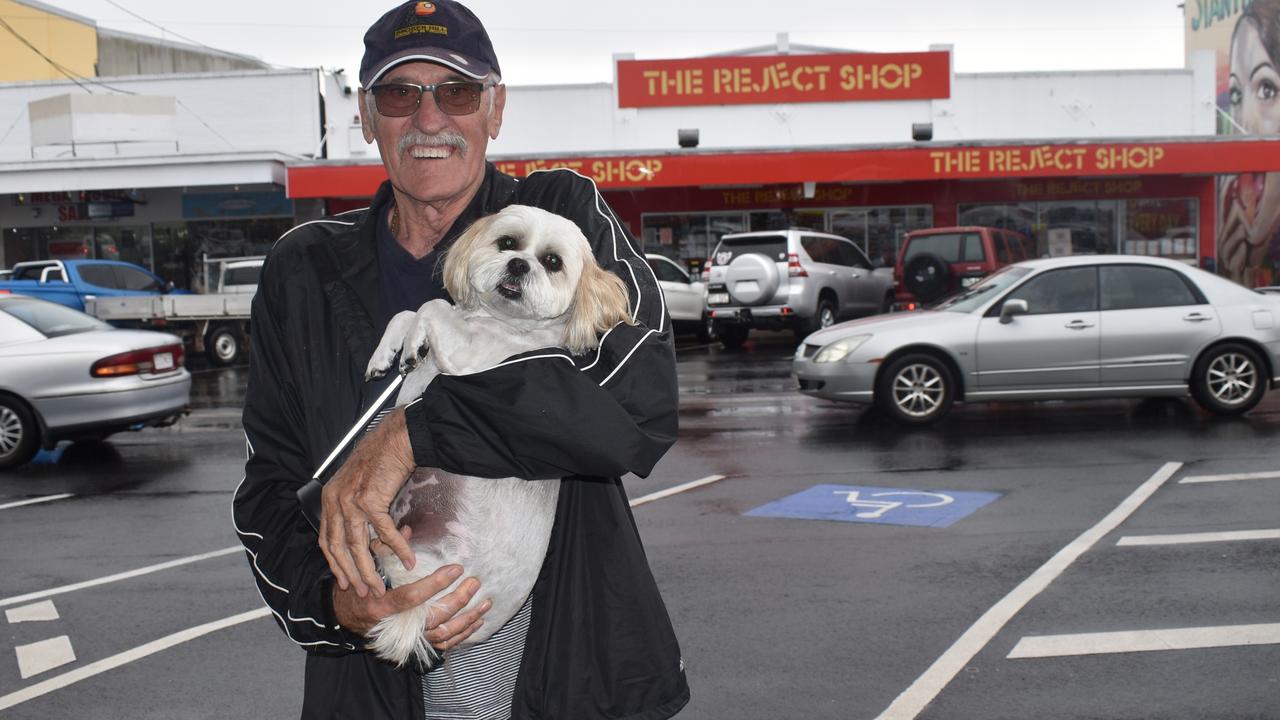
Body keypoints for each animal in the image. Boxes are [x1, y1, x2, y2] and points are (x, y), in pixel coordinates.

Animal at [363, 203, 632, 666]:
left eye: (553, 262)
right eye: (508, 243)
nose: (519, 264)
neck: (495, 322)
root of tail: (418, 605)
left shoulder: (474, 360)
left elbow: (433, 305)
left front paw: (415, 345)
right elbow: (409, 312)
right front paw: (389, 351)